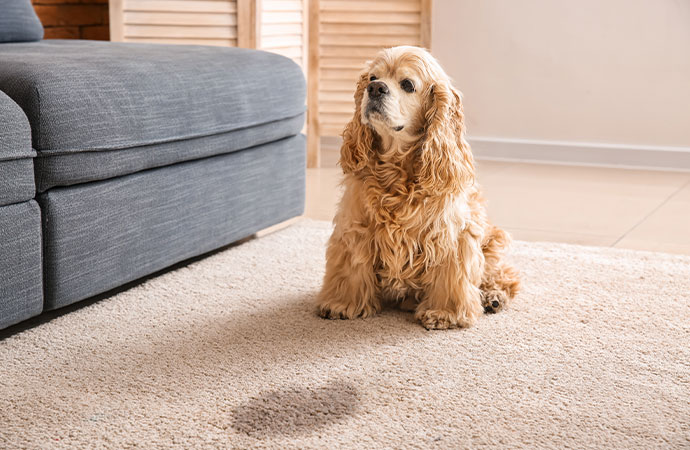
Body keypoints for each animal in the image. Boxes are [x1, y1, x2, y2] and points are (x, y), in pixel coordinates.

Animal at [314, 45, 520, 328]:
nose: (375, 88)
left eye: (407, 85)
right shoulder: (355, 226)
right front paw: (341, 304)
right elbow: (351, 267)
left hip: (492, 239)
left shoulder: (451, 235)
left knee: (505, 274)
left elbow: (451, 276)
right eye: (372, 78)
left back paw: (493, 297)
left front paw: (445, 313)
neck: (396, 171)